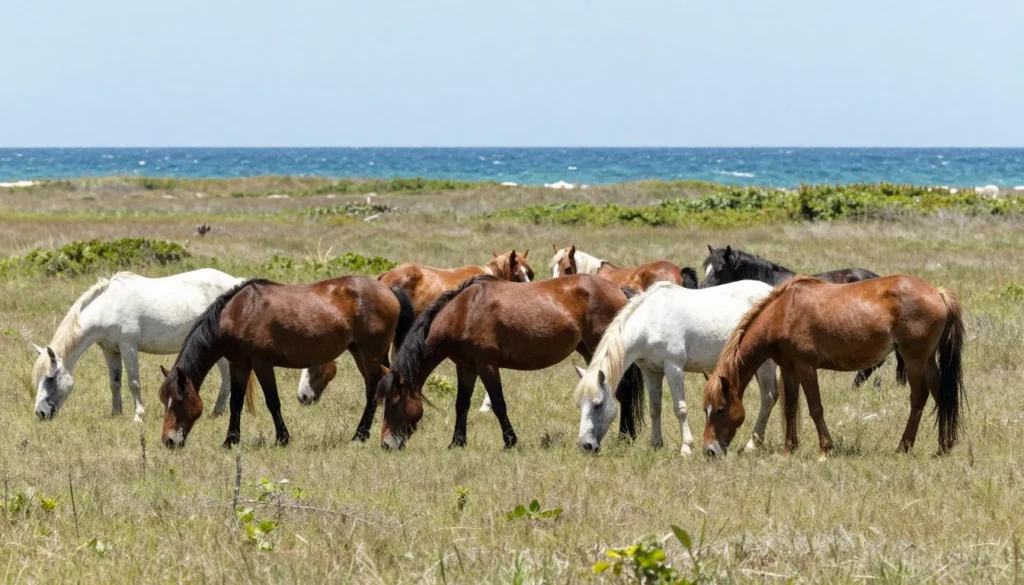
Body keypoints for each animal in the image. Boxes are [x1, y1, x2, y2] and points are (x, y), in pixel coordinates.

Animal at [32, 269, 261, 422]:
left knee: (227, 377)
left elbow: (133, 383)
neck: (108, 307)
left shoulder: (128, 346)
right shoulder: (110, 350)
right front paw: (116, 414)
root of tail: (238, 283)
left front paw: (138, 416)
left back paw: (216, 412)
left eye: (50, 378)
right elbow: (115, 383)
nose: (40, 413)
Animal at [158, 276, 414, 448]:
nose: (169, 440)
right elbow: (235, 403)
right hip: (359, 352)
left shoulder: (262, 364)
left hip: (370, 353)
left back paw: (359, 435)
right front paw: (230, 441)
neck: (239, 313)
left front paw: (283, 438)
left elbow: (273, 402)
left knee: (373, 389)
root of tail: (387, 289)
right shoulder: (239, 365)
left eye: (179, 401)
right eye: (164, 401)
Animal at [376, 274, 646, 450]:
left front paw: (510, 442)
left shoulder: (487, 366)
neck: (463, 312)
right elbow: (461, 404)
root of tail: (618, 289)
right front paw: (457, 443)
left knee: (622, 391)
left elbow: (498, 404)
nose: (386, 444)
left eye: (394, 402)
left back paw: (625, 437)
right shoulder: (466, 367)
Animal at [574, 280, 795, 454]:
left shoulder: (673, 367)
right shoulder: (651, 371)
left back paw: (752, 444)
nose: (585, 445)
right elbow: (655, 408)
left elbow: (680, 408)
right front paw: (656, 444)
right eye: (579, 406)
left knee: (768, 398)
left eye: (598, 404)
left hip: (764, 364)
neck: (651, 320)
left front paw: (686, 447)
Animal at [701, 275, 965, 458]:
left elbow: (815, 408)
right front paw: (788, 450)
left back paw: (903, 447)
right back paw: (944, 447)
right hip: (927, 360)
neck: (783, 313)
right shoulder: (789, 368)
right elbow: (790, 407)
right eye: (706, 409)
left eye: (720, 410)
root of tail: (937, 291)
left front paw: (825, 449)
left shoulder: (806, 367)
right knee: (940, 395)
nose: (709, 451)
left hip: (914, 360)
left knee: (918, 398)